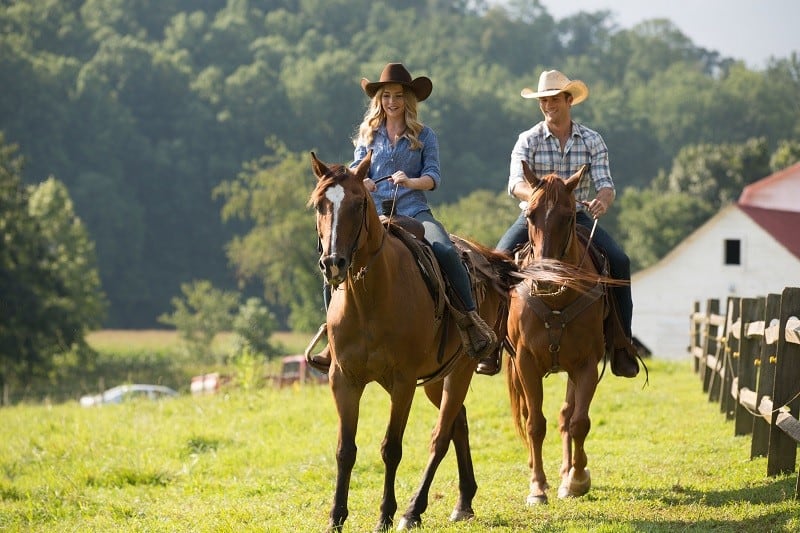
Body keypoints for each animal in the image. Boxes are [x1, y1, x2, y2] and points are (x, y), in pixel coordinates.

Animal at [310, 152, 516, 528]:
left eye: (359, 202)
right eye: (320, 204)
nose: (333, 262)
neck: (370, 299)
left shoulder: (403, 382)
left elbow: (391, 448)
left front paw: (385, 516)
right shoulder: (343, 379)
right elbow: (345, 450)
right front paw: (336, 517)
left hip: (461, 370)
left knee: (441, 436)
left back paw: (413, 510)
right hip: (437, 377)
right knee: (458, 422)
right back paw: (463, 501)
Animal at [504, 163, 620, 508]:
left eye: (569, 216)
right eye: (530, 215)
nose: (545, 279)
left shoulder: (586, 364)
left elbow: (579, 422)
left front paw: (577, 479)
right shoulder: (525, 362)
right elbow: (534, 424)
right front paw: (536, 487)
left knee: (567, 415)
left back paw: (568, 473)